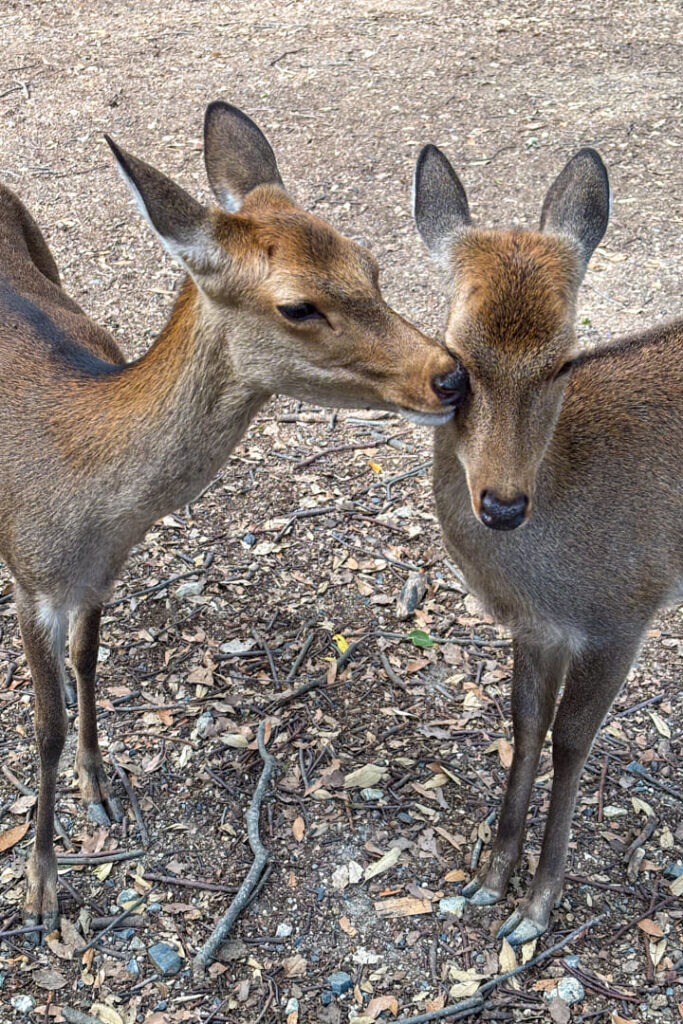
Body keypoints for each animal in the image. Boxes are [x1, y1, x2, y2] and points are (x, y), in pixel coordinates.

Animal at [0, 99, 464, 933]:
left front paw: (99, 786)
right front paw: (42, 887)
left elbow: (89, 661)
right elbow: (42, 728)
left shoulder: (101, 573)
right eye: (297, 305)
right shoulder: (30, 579)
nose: (449, 376)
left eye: (370, 265)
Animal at [411, 142, 683, 942]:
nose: (501, 504)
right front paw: (489, 876)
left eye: (564, 358)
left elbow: (571, 739)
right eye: (455, 357)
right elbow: (526, 725)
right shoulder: (538, 627)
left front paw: (537, 903)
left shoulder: (624, 610)